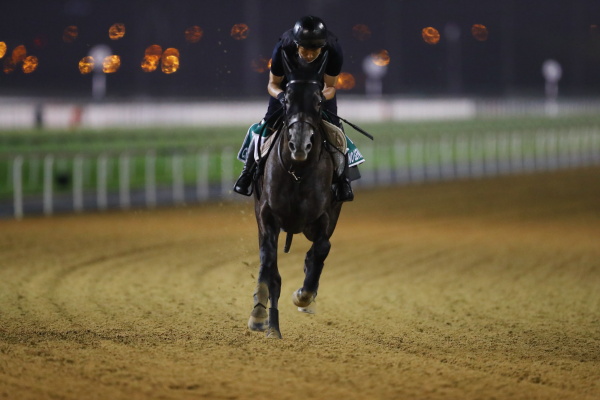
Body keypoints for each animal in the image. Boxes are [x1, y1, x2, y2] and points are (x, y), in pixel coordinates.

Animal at [247, 71, 342, 338]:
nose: (299, 145)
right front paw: (266, 322)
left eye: (318, 102)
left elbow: (321, 249)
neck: (297, 172)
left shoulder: (324, 216)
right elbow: (270, 265)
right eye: (287, 101)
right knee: (266, 262)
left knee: (317, 252)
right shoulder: (268, 216)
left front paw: (304, 296)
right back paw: (262, 317)